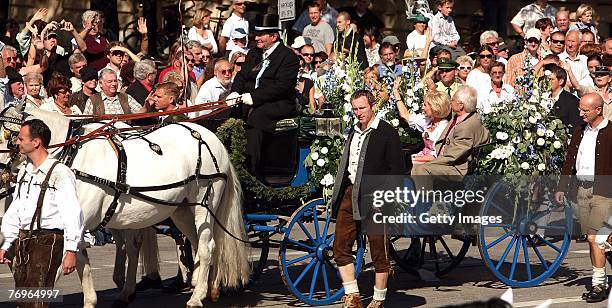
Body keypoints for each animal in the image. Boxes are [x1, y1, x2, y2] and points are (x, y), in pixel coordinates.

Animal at [0, 107, 251, 306]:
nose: (3, 178)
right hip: (181, 210)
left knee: (207, 246)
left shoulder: (75, 225)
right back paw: (205, 286)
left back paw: (197, 296)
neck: (70, 157)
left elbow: (58, 268)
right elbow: (76, 263)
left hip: (204, 205)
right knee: (199, 243)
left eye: (9, 137)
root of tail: (212, 138)